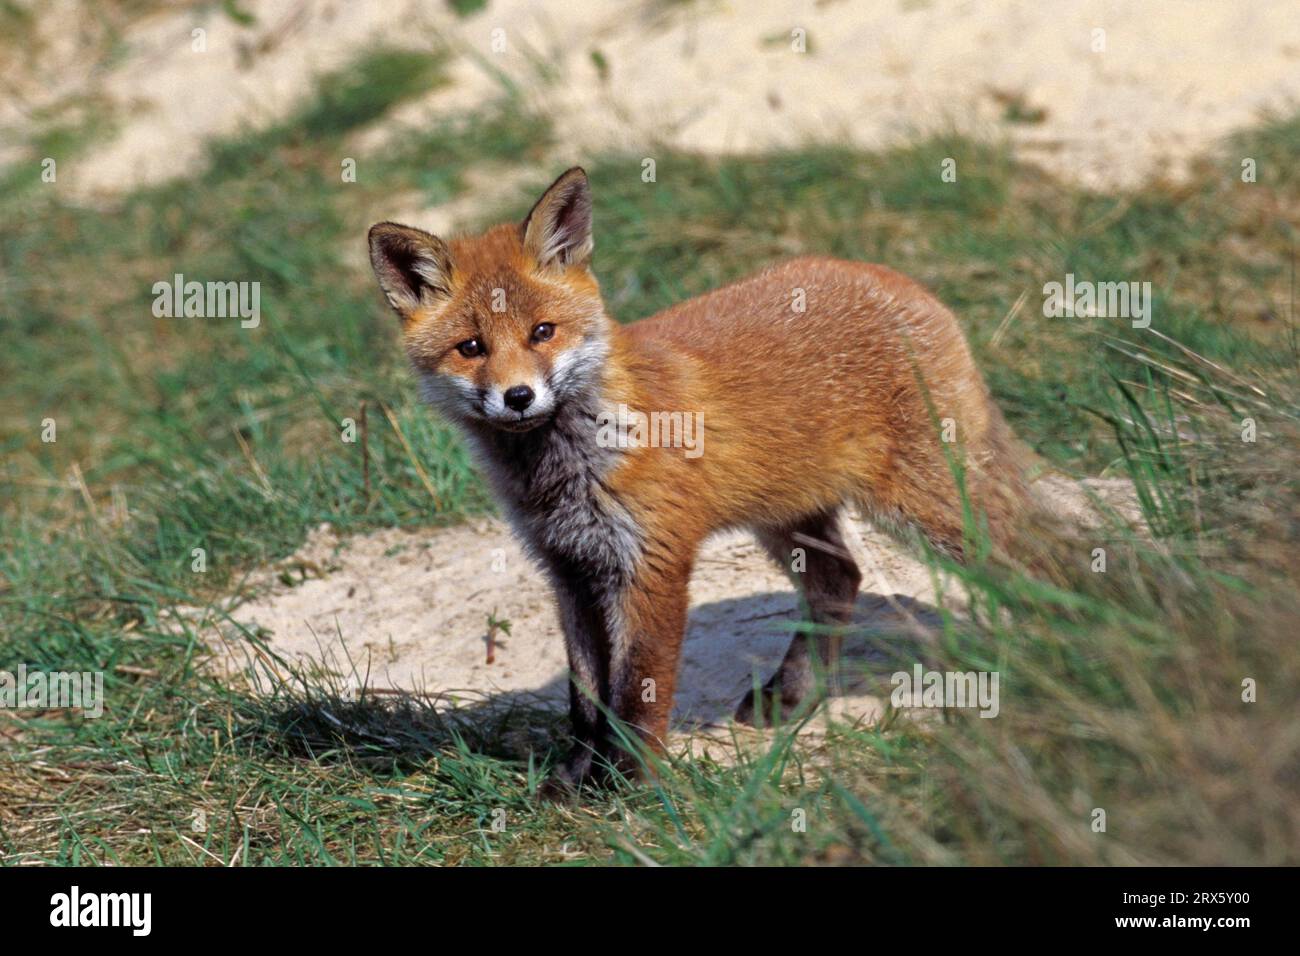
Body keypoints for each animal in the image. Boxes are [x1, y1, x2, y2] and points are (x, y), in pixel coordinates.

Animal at [369, 166, 1034, 801]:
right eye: (471, 347)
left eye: (542, 332)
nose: (518, 397)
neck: (566, 471)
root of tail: (893, 278)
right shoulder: (569, 569)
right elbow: (586, 700)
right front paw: (573, 780)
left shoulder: (652, 563)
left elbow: (637, 694)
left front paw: (627, 789)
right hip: (788, 517)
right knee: (841, 579)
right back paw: (795, 695)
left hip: (926, 505)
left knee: (1030, 551)